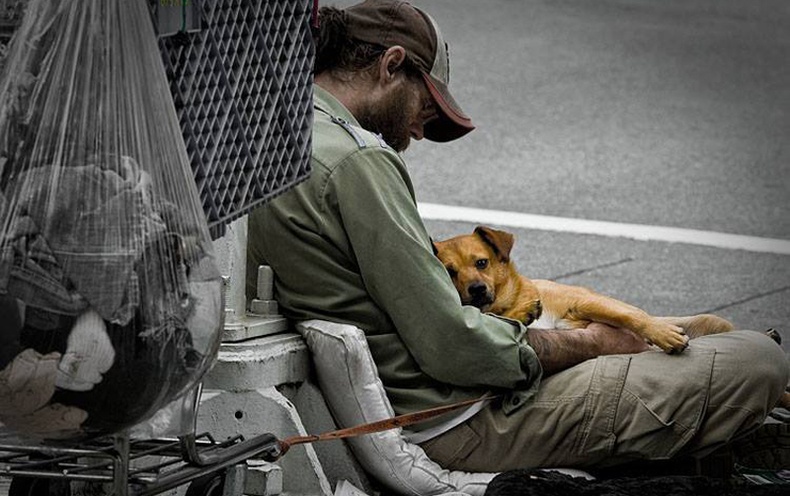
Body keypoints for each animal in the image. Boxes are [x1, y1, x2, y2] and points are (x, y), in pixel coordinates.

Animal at [434, 225, 736, 352]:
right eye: (450, 272)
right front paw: (521, 313)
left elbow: (631, 315)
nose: (476, 289)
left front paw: (662, 334)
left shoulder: (584, 302)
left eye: (481, 262)